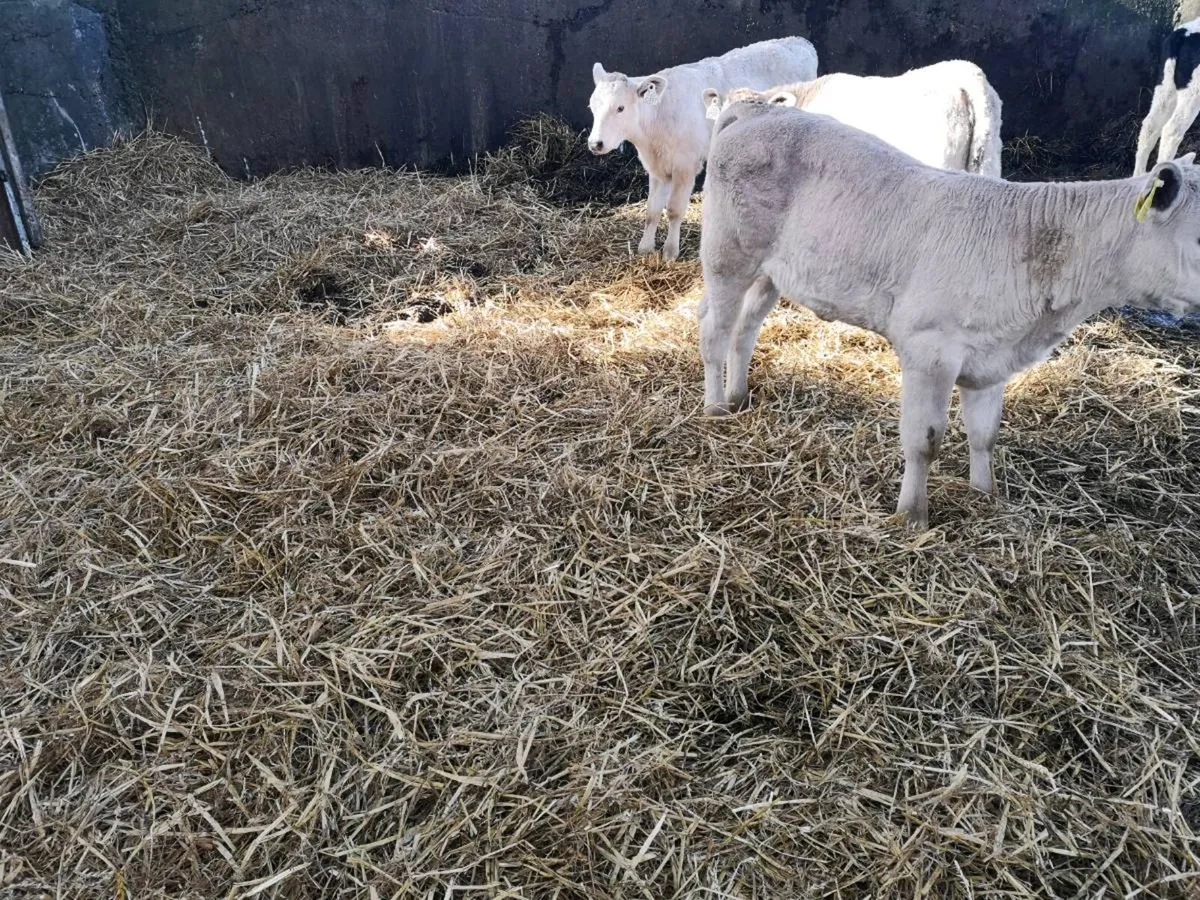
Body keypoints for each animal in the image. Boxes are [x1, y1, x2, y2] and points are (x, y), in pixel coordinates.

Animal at [587, 37, 819, 261]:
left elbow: (674, 210)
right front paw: (645, 248)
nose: (595, 143)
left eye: (620, 108)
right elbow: (652, 210)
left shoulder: (685, 166)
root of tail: (800, 42)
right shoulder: (656, 168)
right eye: (592, 106)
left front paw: (670, 252)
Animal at [698, 101, 1200, 530]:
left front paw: (984, 495)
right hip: (727, 256)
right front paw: (912, 517)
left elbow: (985, 434)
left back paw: (739, 396)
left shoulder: (995, 357)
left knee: (746, 328)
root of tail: (758, 107)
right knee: (715, 331)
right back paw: (715, 408)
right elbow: (925, 440)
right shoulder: (929, 349)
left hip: (772, 272)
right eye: (1198, 237)